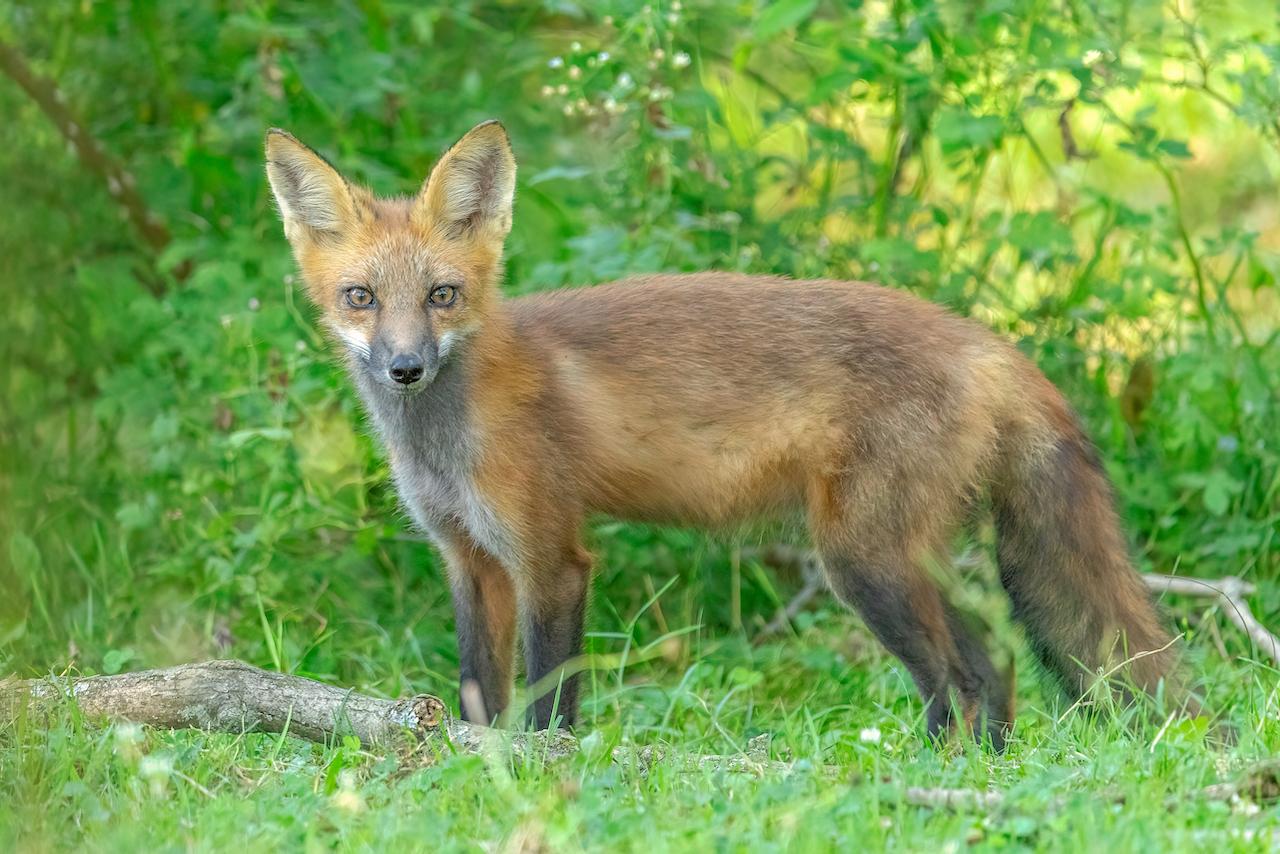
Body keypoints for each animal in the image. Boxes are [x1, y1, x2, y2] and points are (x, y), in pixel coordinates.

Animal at [264, 120, 1197, 750]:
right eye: (360, 299)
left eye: (443, 296)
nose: (405, 368)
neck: (447, 439)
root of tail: (987, 340)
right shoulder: (469, 558)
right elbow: (477, 695)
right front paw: (478, 766)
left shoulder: (552, 557)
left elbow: (550, 702)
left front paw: (544, 772)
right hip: (906, 560)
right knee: (994, 665)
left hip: (864, 562)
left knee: (960, 676)